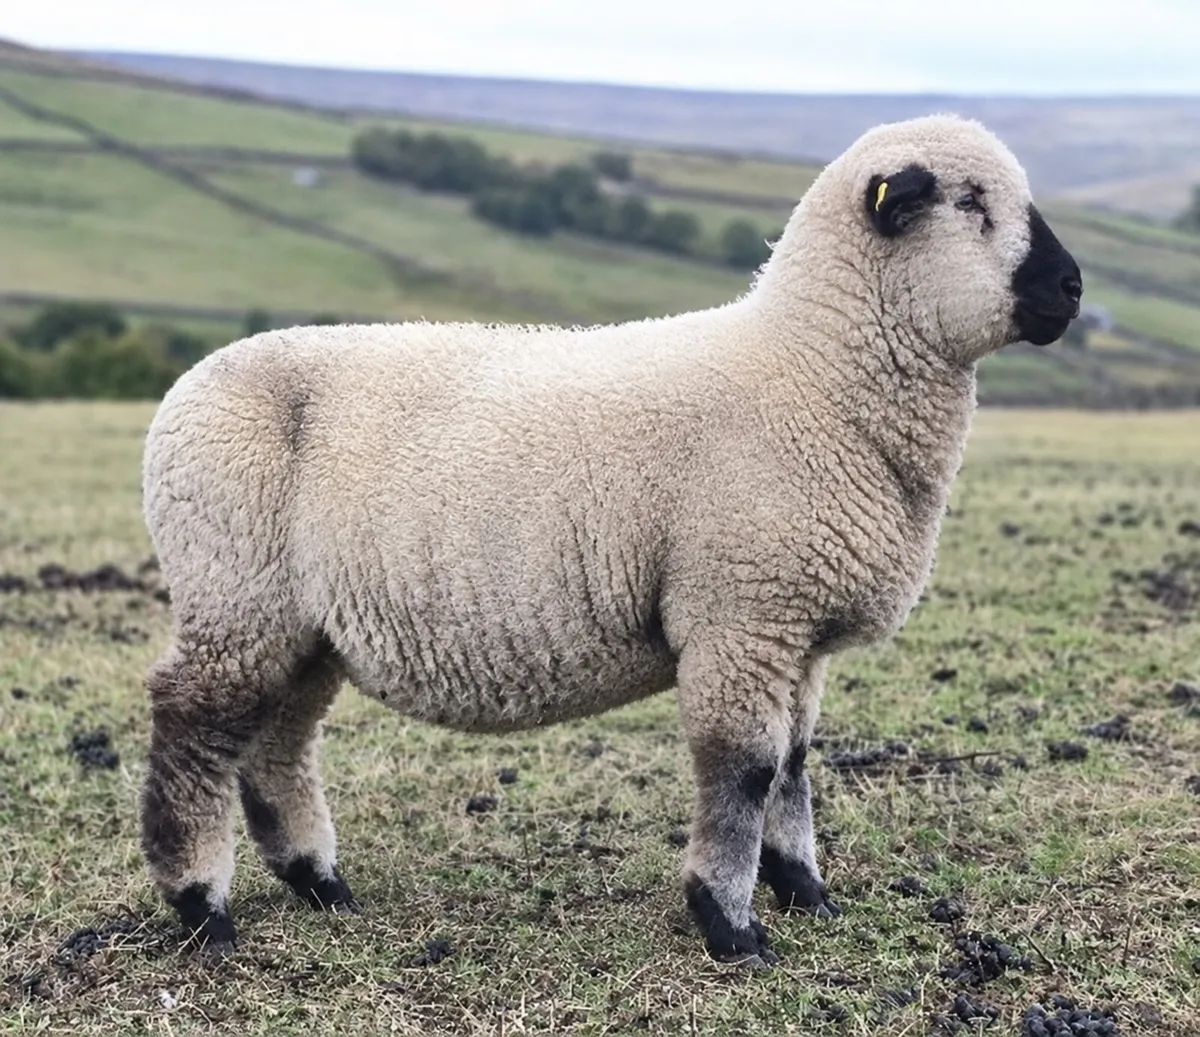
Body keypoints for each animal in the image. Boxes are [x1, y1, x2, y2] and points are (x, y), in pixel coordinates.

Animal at [140, 113, 1081, 965]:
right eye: (969, 201)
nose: (1073, 289)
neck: (808, 372)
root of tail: (183, 391)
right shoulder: (739, 617)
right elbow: (744, 769)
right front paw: (730, 925)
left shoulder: (795, 630)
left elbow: (794, 762)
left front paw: (806, 892)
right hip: (232, 589)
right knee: (191, 729)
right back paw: (202, 910)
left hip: (298, 624)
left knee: (277, 743)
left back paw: (320, 884)